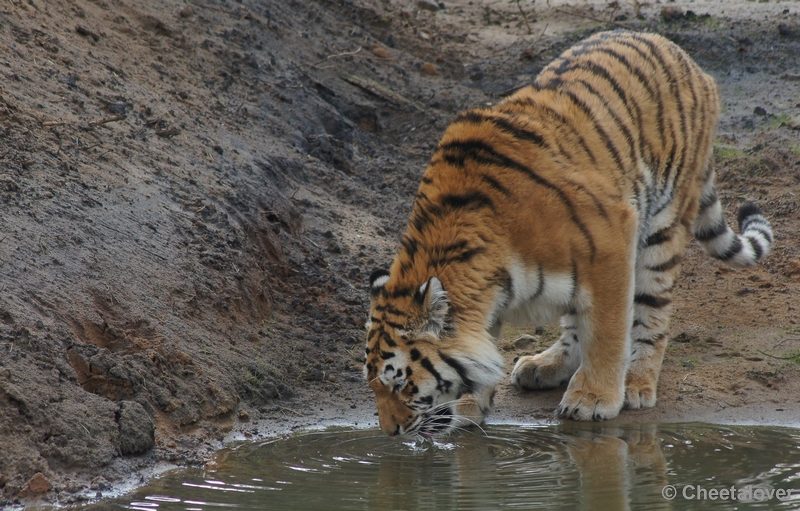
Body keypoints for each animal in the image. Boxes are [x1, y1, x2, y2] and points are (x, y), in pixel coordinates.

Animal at [366, 30, 772, 436]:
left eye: (400, 383)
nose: (389, 432)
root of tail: (681, 54)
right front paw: (469, 406)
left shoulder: (612, 242)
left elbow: (608, 332)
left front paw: (593, 398)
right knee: (577, 319)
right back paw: (544, 366)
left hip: (662, 225)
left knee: (650, 312)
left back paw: (636, 382)